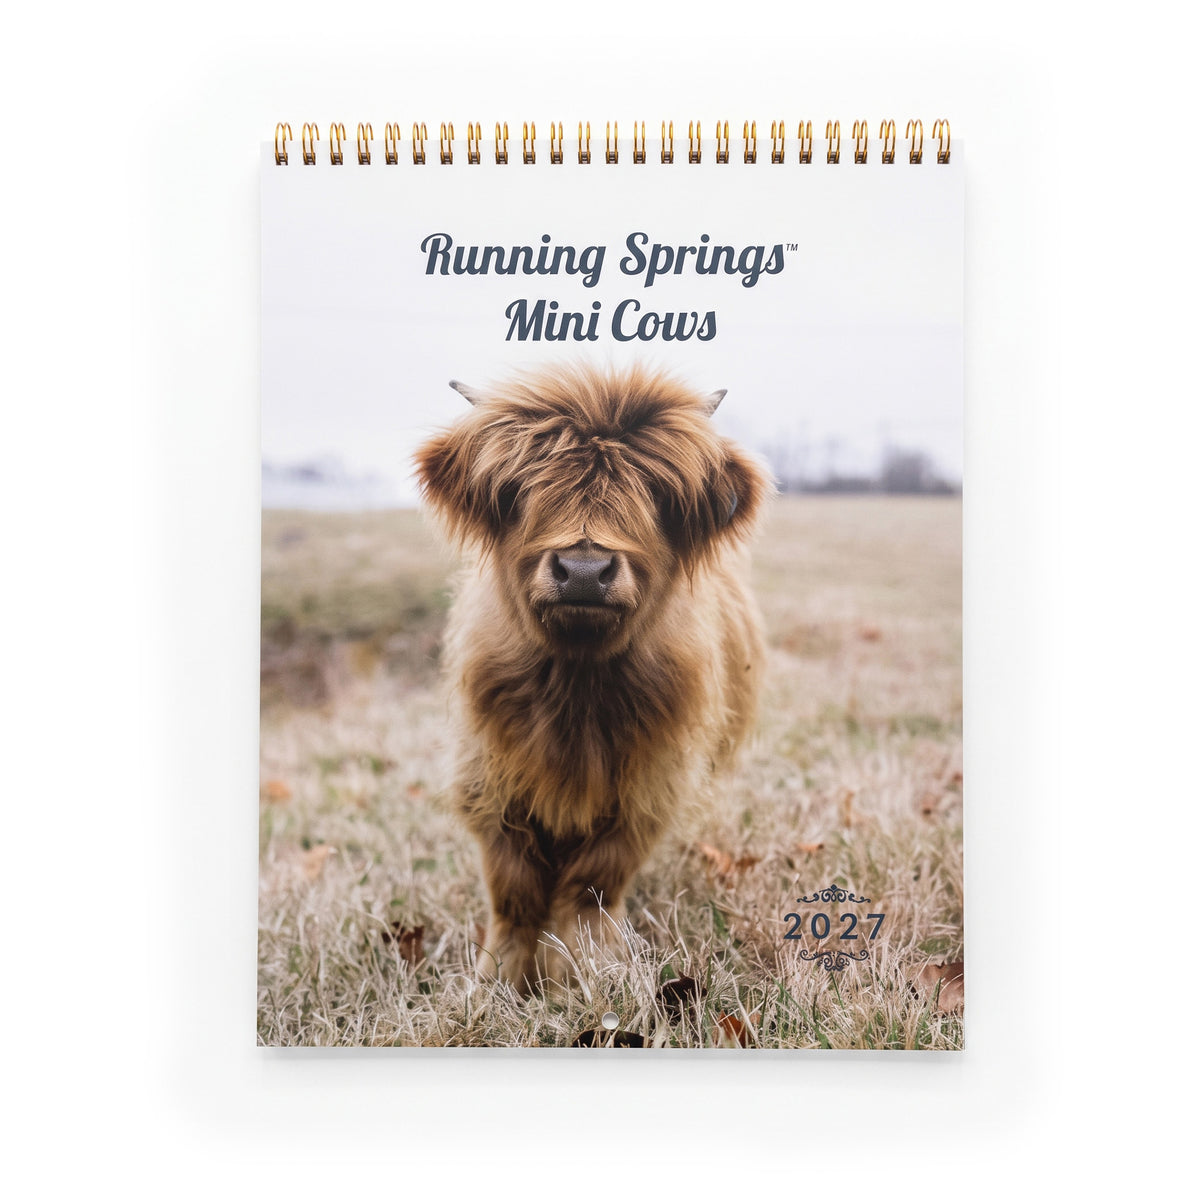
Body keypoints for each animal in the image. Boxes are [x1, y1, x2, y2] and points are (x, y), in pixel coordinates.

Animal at [414, 363, 772, 992]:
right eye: (522, 490)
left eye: (653, 494)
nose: (584, 569)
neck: (576, 689)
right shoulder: (489, 778)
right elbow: (513, 888)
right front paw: (498, 981)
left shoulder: (646, 786)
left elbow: (594, 883)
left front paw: (591, 968)